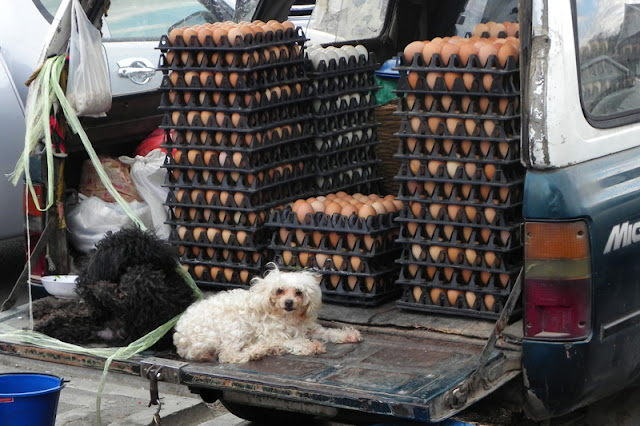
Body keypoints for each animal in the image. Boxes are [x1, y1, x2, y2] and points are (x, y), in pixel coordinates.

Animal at [172, 262, 362, 362]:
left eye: (298, 292)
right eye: (279, 291)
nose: (288, 302)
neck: (288, 318)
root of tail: (182, 340)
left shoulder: (308, 328)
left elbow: (327, 332)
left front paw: (347, 335)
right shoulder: (274, 334)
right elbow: (293, 341)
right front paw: (310, 345)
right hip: (235, 327)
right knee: (229, 354)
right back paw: (260, 350)